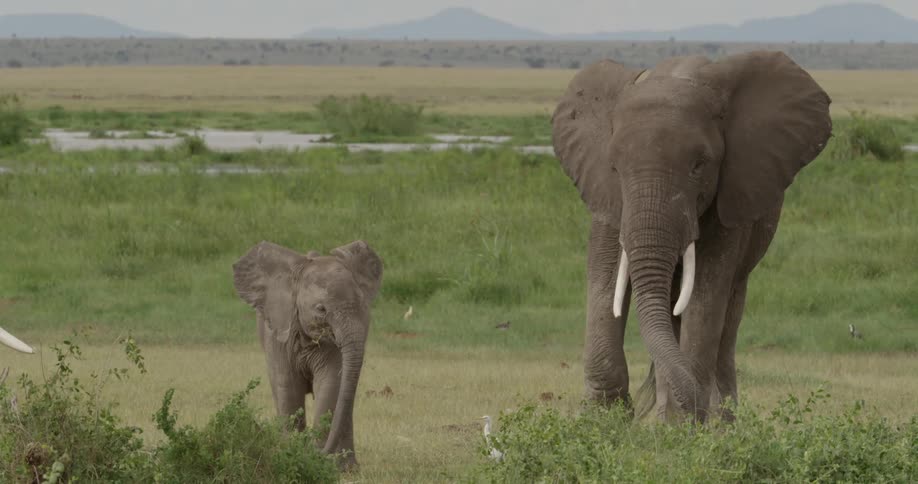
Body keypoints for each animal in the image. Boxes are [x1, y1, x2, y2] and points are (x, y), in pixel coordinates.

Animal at [233, 239, 382, 469]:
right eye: (321, 309)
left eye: (363, 305)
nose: (317, 453)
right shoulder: (278, 335)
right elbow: (288, 387)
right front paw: (290, 456)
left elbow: (331, 385)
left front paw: (317, 461)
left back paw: (347, 468)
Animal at [551, 51, 832, 422]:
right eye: (614, 167)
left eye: (699, 165)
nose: (701, 409)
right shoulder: (606, 196)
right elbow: (606, 277)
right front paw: (602, 420)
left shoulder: (733, 193)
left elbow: (706, 293)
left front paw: (685, 424)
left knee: (727, 315)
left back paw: (718, 418)